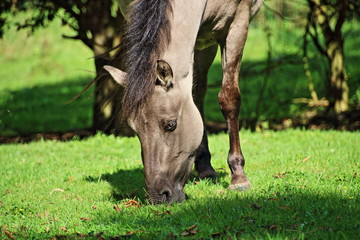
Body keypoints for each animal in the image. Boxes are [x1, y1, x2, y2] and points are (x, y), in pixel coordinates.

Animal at [102, 0, 262, 204]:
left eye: (171, 125)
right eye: (134, 130)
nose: (159, 196)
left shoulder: (237, 24)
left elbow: (229, 98)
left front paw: (239, 177)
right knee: (197, 93)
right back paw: (205, 168)